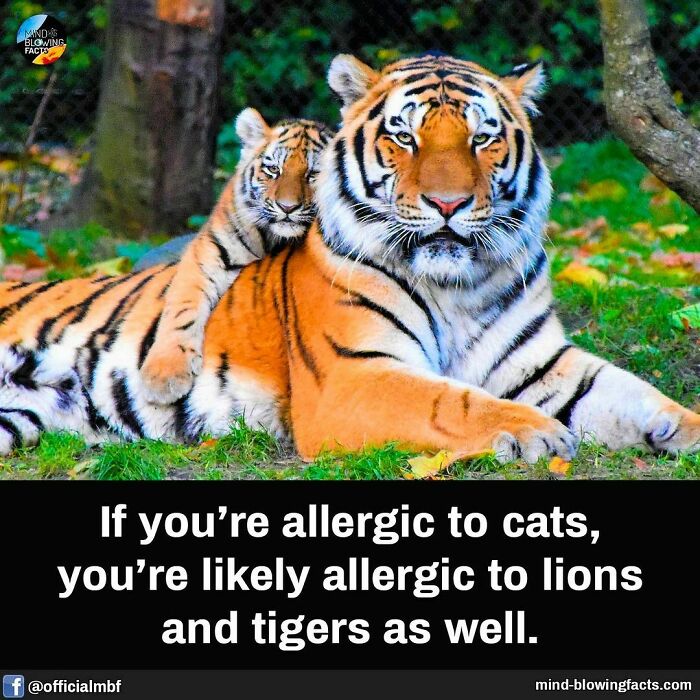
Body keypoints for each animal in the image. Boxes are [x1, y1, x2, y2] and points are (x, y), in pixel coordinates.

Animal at [139, 109, 333, 404]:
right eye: (273, 170)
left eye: (313, 173)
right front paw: (164, 376)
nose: (287, 207)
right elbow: (182, 307)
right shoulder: (207, 253)